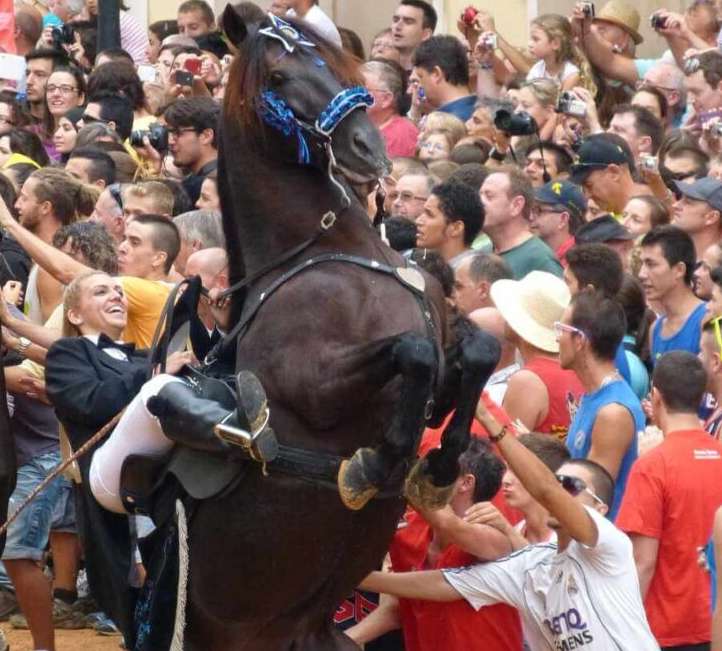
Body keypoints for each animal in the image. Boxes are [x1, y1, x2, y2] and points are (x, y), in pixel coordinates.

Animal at [176, 8, 496, 648]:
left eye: (333, 62)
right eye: (278, 75)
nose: (367, 146)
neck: (328, 252)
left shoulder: (445, 366)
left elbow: (480, 350)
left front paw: (439, 465)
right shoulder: (316, 385)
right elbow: (415, 351)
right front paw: (378, 462)